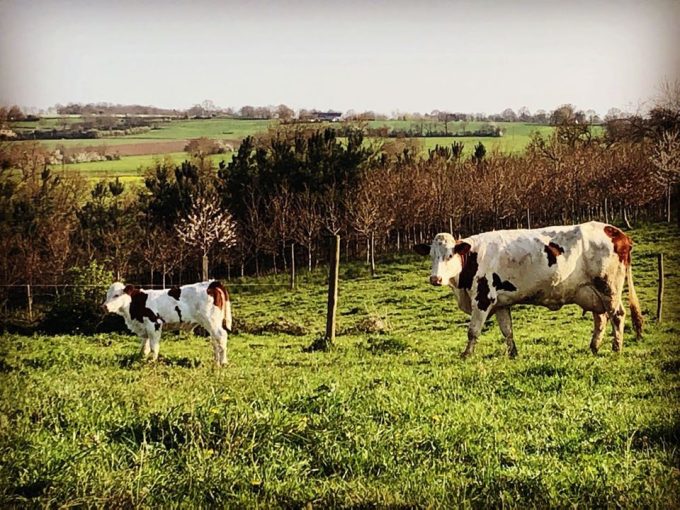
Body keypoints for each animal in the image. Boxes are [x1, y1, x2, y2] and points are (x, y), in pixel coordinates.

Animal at [102, 280, 233, 366]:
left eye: (116, 295)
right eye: (107, 295)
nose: (104, 307)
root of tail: (211, 283)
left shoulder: (154, 324)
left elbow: (154, 346)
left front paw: (153, 362)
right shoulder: (144, 328)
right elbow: (145, 346)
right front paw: (142, 359)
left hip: (212, 320)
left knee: (222, 336)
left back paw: (223, 362)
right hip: (211, 323)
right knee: (215, 341)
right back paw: (216, 362)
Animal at [414, 221, 643, 358]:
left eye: (449, 255)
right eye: (432, 255)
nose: (435, 278)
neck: (472, 258)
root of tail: (616, 232)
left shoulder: (483, 298)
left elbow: (473, 331)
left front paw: (466, 354)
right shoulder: (500, 303)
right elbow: (507, 330)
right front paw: (513, 353)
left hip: (608, 287)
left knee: (617, 315)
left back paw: (616, 348)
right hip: (592, 292)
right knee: (601, 318)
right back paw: (594, 347)